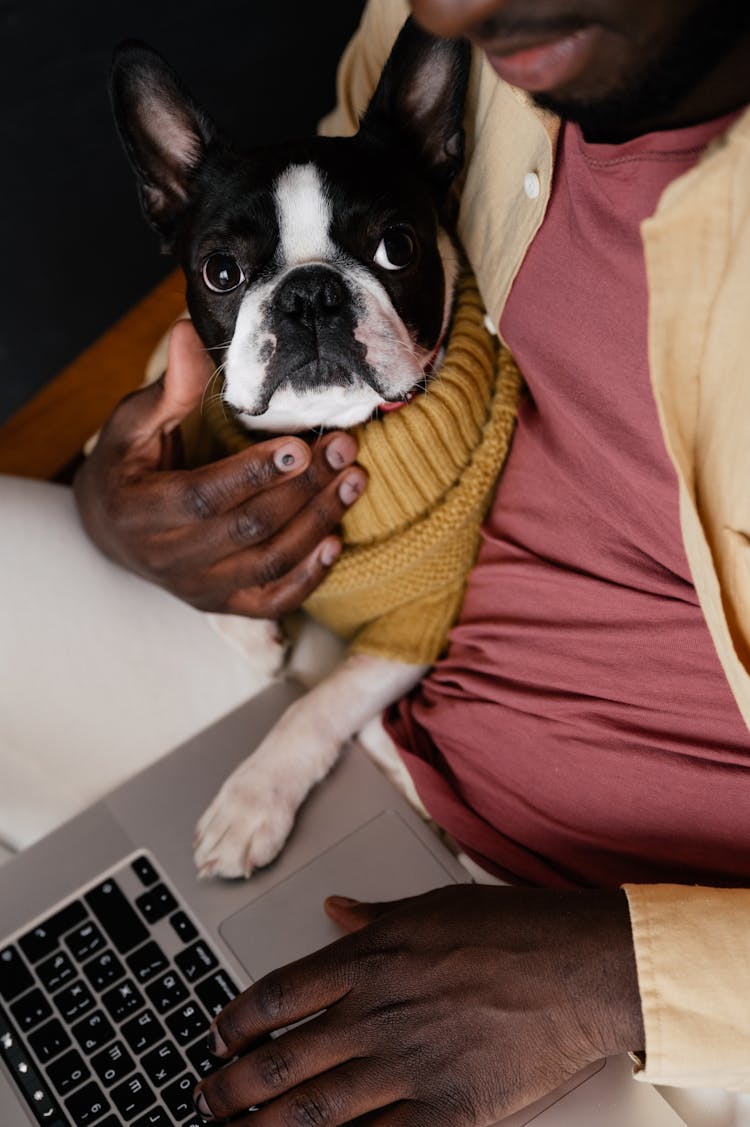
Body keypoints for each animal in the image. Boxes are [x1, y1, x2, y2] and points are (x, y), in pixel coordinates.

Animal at [109, 15, 514, 879]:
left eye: (398, 248)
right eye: (220, 271)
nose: (309, 293)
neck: (334, 429)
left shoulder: (417, 622)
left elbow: (320, 702)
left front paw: (252, 800)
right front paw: (255, 635)